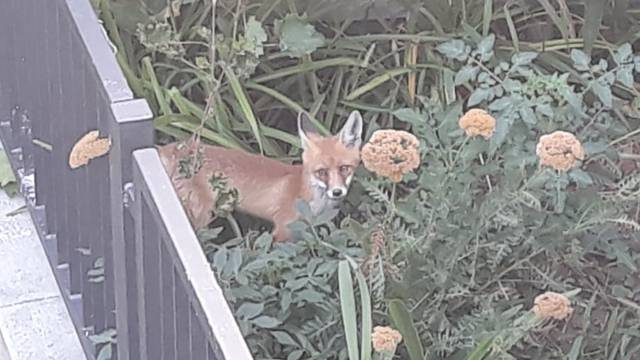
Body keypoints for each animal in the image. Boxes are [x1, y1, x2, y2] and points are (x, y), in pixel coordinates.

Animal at [158, 112, 362, 242]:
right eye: (322, 172)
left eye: (344, 168)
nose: (337, 192)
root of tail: (166, 149)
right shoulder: (282, 231)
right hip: (201, 216)